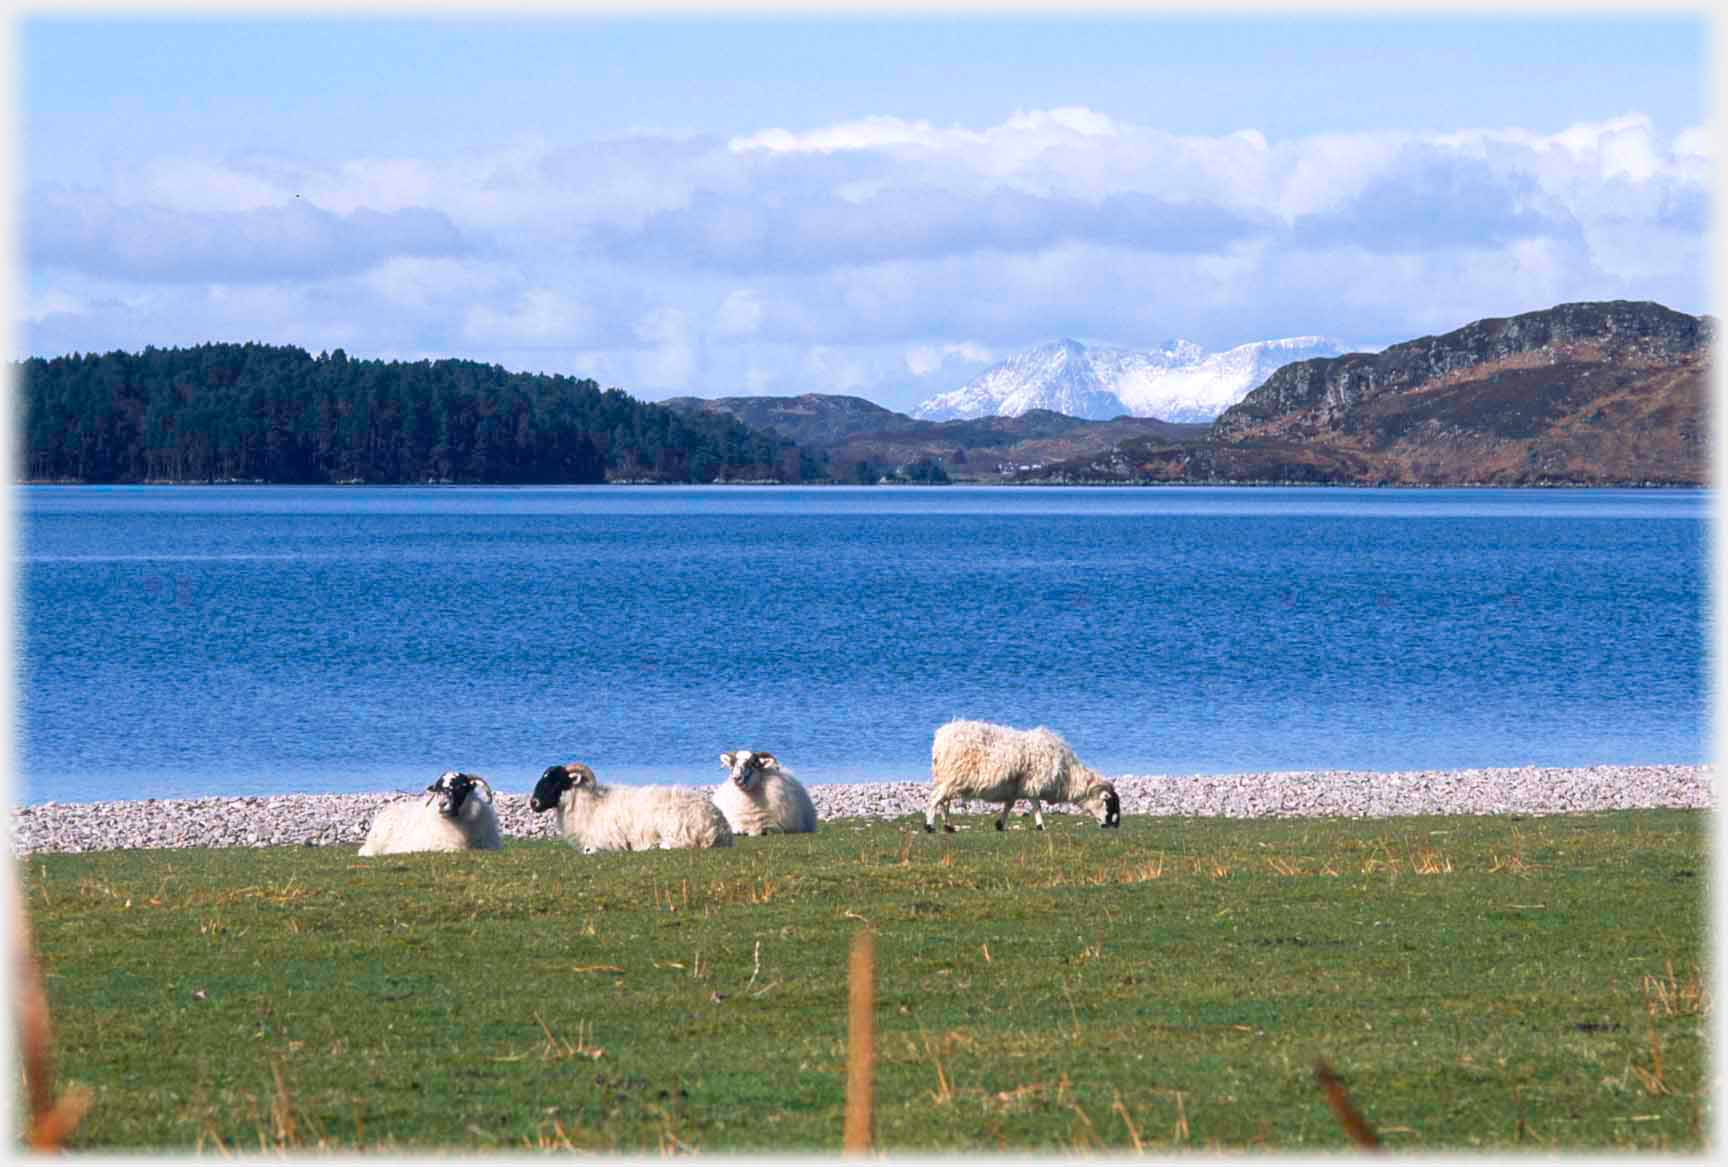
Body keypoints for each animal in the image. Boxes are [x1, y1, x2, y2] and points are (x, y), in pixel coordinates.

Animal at [532, 760, 736, 854]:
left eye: (557, 781)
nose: (533, 803)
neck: (590, 805)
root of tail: (720, 828)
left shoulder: (606, 842)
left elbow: (590, 850)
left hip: (677, 829)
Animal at [926, 715, 1126, 836]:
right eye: (1109, 803)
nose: (1111, 826)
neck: (1067, 775)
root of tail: (941, 737)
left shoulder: (1015, 788)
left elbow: (1009, 805)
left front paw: (1000, 824)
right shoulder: (1033, 783)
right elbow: (1037, 806)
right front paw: (1041, 826)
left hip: (946, 777)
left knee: (943, 801)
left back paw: (948, 826)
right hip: (953, 776)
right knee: (935, 799)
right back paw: (929, 826)